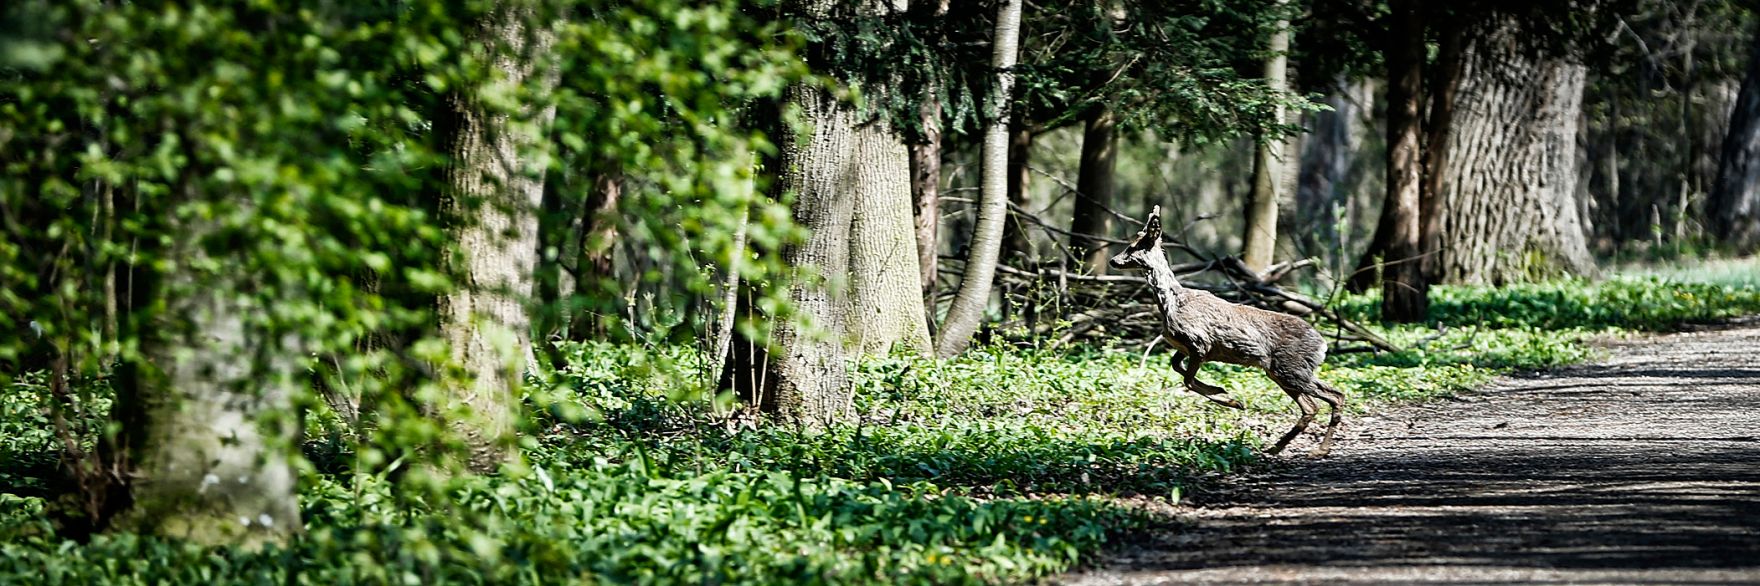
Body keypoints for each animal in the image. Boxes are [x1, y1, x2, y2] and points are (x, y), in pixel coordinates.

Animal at [1108, 206, 1346, 456]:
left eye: (1135, 246)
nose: (1113, 260)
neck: (1172, 303)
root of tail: (1323, 345)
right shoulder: (1185, 347)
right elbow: (1176, 367)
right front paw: (1225, 394)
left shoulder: (1199, 343)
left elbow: (1188, 380)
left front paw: (1230, 399)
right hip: (1281, 371)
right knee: (1316, 404)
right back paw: (1277, 447)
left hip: (1290, 369)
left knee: (1331, 398)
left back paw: (1316, 450)